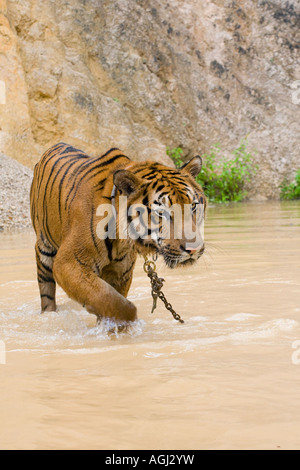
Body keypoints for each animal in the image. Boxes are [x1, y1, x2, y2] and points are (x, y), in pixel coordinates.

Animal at [30, 142, 206, 324]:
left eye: (193, 206)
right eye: (161, 212)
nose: (194, 249)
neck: (123, 239)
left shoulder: (121, 272)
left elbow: (111, 300)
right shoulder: (68, 262)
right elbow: (114, 303)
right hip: (44, 251)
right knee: (47, 293)